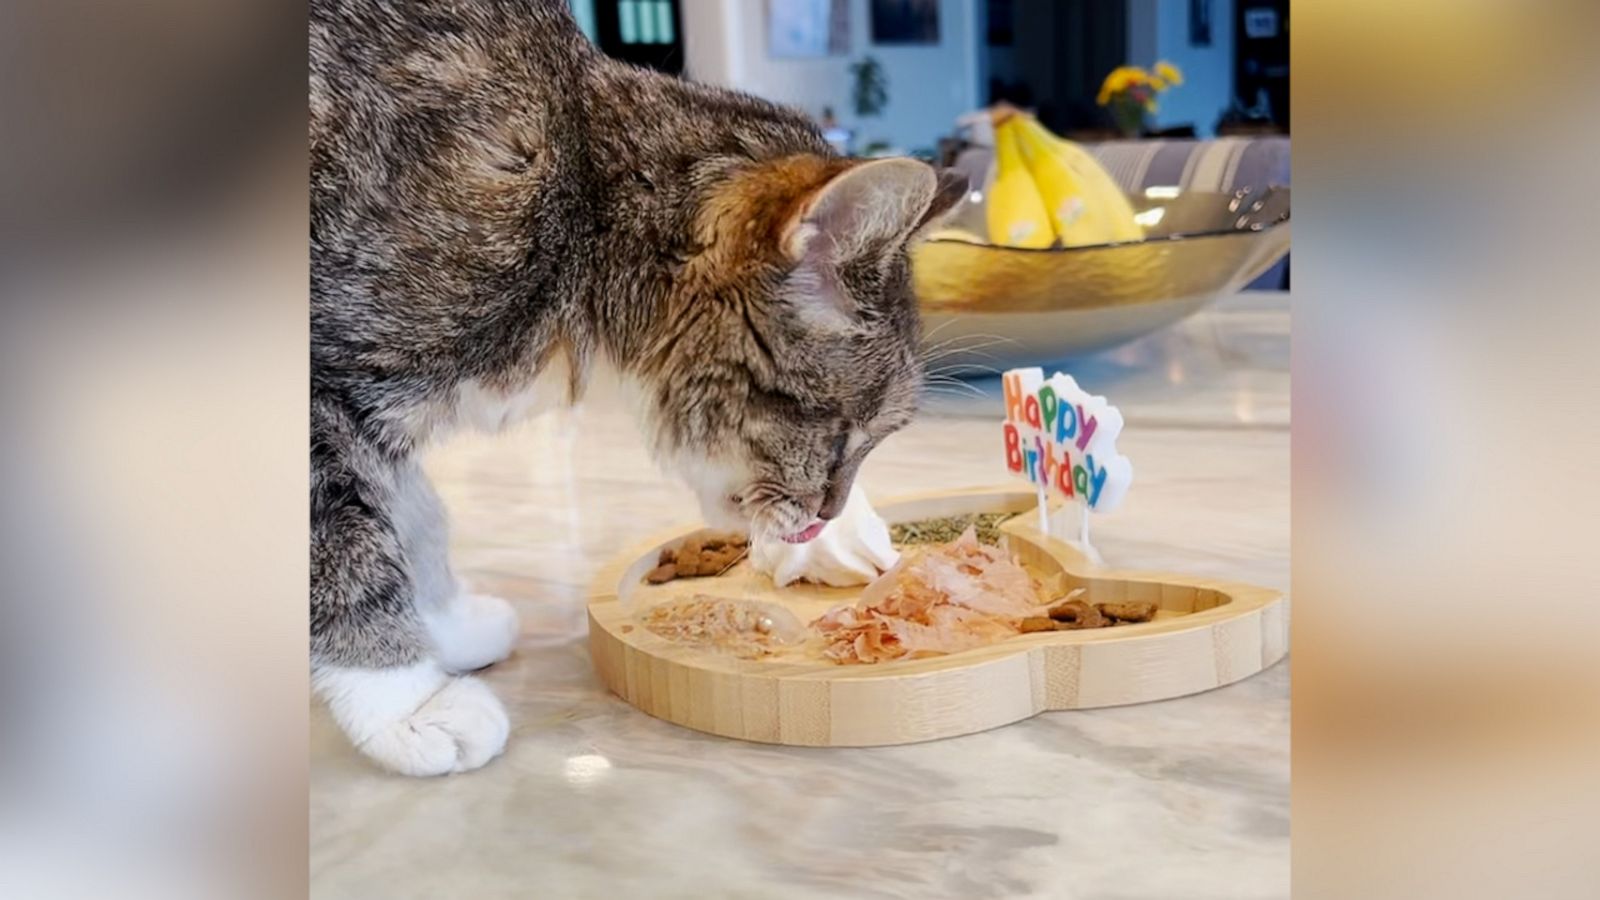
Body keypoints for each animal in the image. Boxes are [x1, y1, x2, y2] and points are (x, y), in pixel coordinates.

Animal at [308, 0, 960, 771]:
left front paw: (444, 627)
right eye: (843, 430)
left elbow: (417, 514)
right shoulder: (321, 400)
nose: (829, 515)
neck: (575, 208)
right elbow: (348, 547)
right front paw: (406, 700)